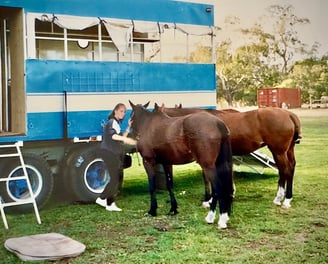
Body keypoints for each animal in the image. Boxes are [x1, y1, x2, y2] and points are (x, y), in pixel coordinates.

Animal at [127, 101, 233, 229]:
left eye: (131, 117)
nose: (129, 134)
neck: (148, 125)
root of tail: (218, 123)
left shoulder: (148, 162)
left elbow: (152, 187)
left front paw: (152, 211)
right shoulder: (166, 163)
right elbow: (169, 185)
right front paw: (173, 209)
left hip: (208, 166)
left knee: (218, 189)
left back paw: (214, 219)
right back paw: (224, 217)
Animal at [161, 104, 302, 208]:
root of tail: (289, 114)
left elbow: (207, 177)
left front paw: (208, 200)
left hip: (278, 151)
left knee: (285, 170)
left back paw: (282, 199)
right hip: (288, 150)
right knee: (291, 168)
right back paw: (287, 198)